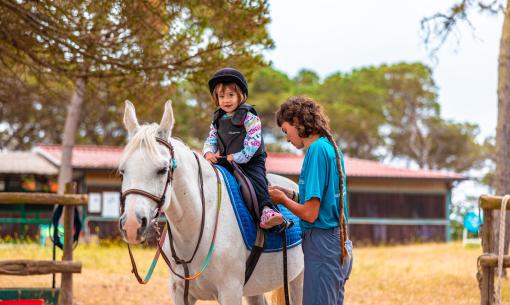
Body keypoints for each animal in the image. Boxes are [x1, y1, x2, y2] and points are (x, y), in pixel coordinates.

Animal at [118, 101, 302, 302]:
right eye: (122, 171)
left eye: (162, 169)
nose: (132, 225)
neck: (195, 226)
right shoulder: (179, 292)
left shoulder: (230, 291)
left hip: (298, 281)